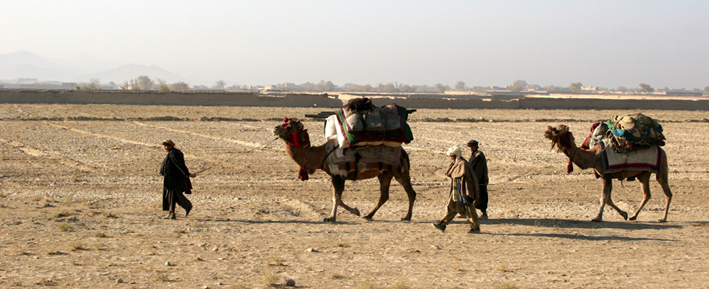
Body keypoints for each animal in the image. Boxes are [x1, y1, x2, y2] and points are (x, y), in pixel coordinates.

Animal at [272, 118, 414, 222]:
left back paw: (406, 217)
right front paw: (355, 211)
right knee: (384, 195)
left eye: (288, 127)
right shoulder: (337, 176)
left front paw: (332, 217)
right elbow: (337, 198)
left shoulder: (338, 175)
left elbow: (336, 198)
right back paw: (368, 215)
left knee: (410, 192)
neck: (321, 153)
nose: (275, 128)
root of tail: (403, 152)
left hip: (400, 171)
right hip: (385, 173)